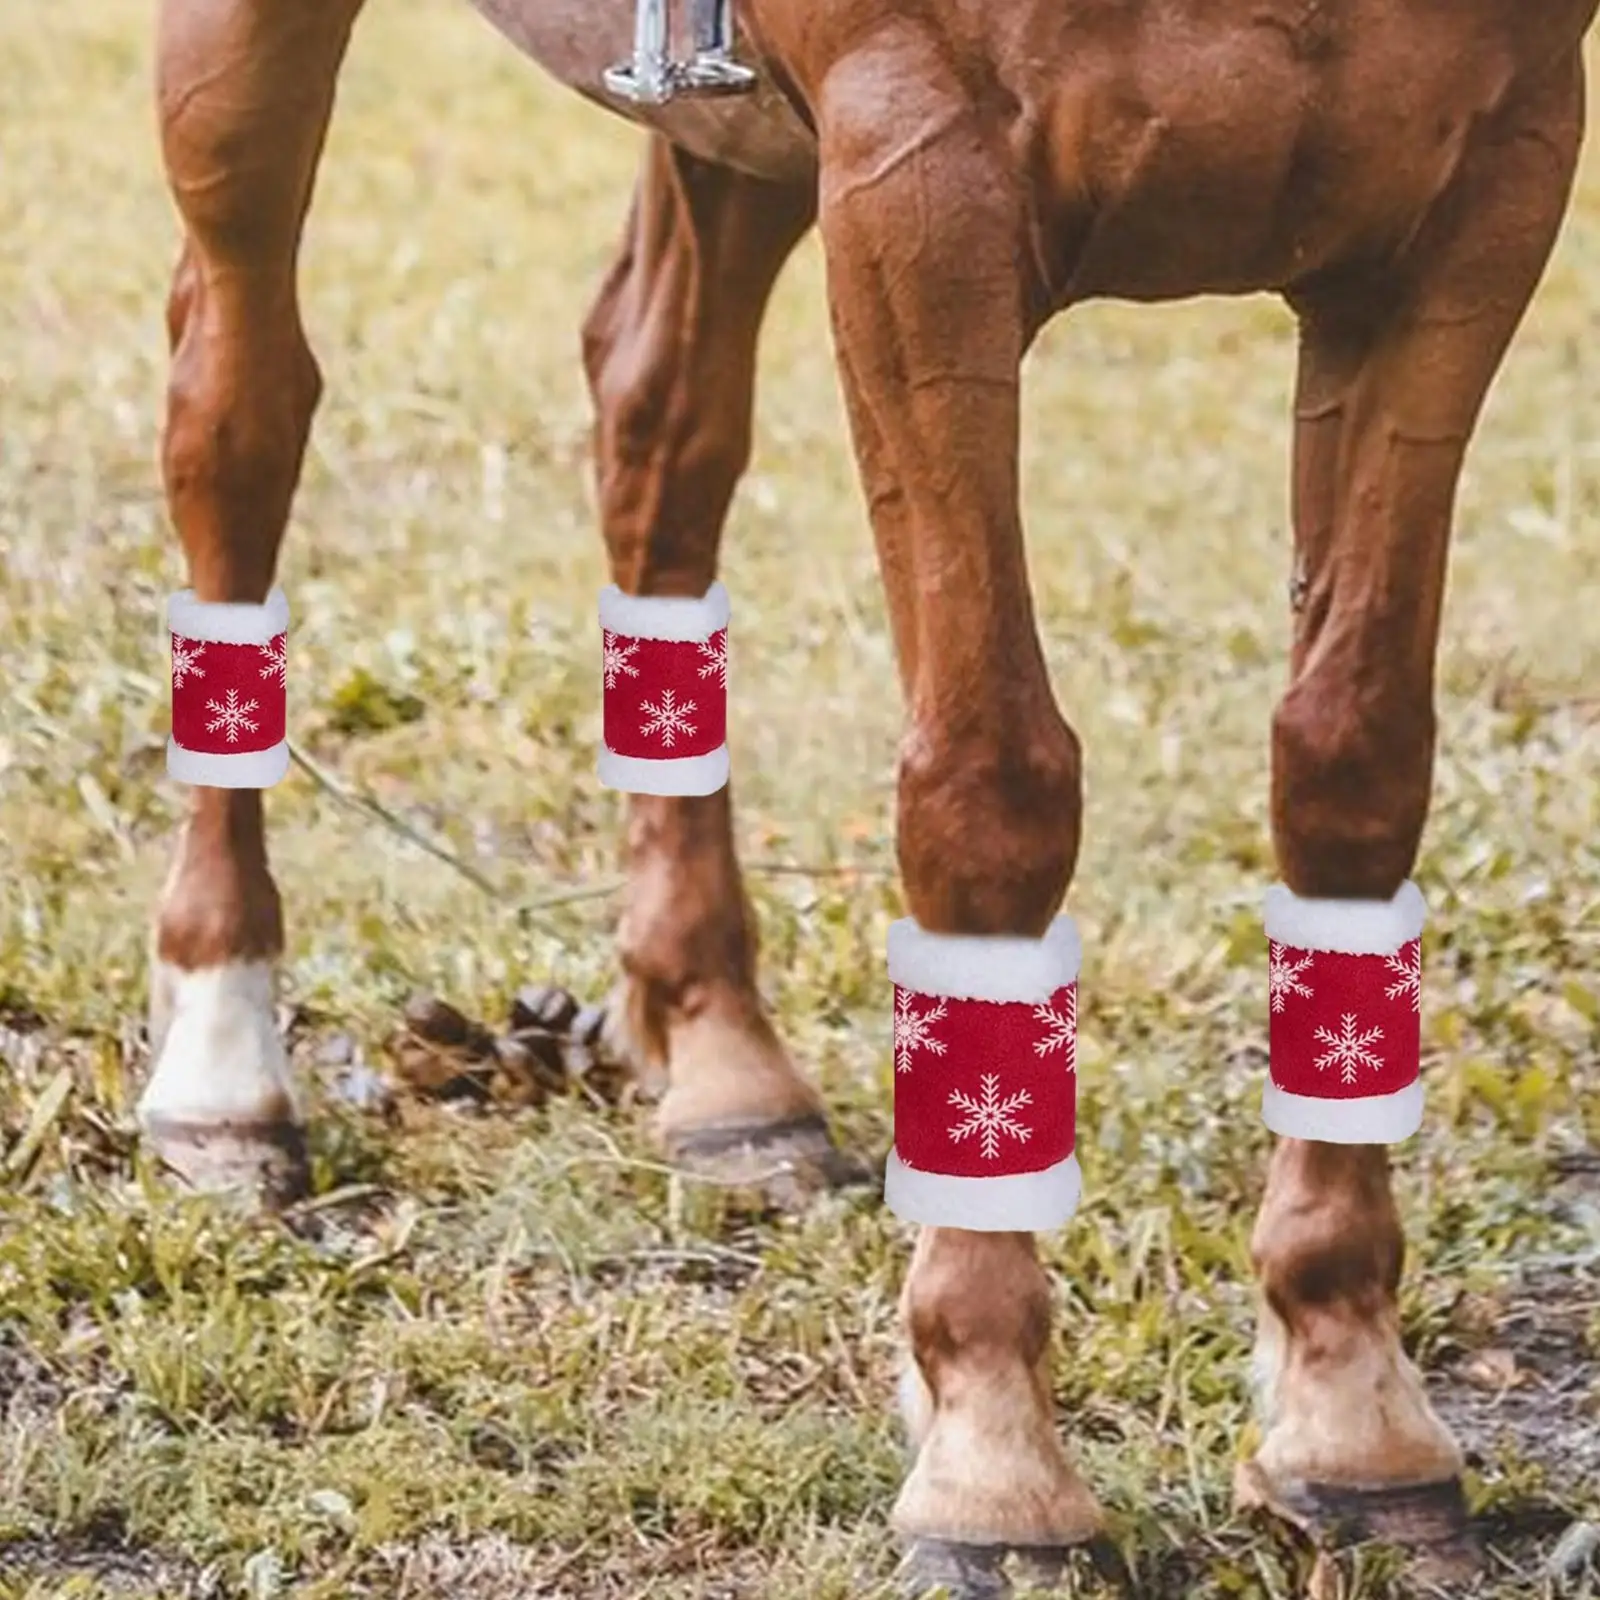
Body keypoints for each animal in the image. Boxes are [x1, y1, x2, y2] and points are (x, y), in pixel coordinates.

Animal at [140, 0, 1600, 1587]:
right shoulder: (919, 182)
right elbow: (990, 786)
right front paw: (994, 1453)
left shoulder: (1476, 205)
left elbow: (1353, 765)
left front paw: (1350, 1409)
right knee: (235, 412)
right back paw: (223, 1067)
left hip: (728, 150)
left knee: (654, 421)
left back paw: (723, 1061)